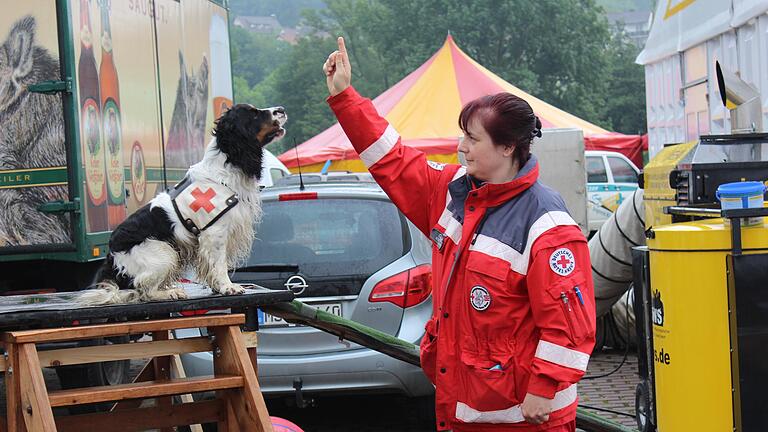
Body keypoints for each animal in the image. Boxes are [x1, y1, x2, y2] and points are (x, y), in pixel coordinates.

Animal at [79, 104, 286, 304]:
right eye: (253, 114)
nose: (281, 110)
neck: (225, 170)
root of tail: (111, 256)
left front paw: (217, 287)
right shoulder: (215, 233)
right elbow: (220, 264)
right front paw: (228, 287)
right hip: (164, 252)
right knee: (143, 289)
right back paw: (171, 293)